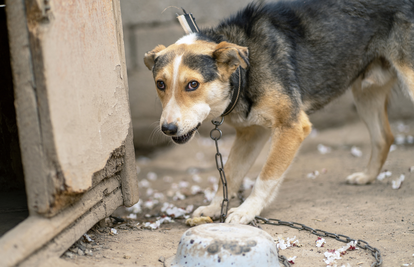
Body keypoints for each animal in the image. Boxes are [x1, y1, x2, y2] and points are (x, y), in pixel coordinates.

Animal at [145, 0, 414, 225]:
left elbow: (266, 177)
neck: (244, 71)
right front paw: (214, 207)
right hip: (365, 91)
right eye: (160, 84)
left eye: (193, 84)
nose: (167, 129)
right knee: (384, 137)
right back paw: (367, 176)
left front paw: (247, 210)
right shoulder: (251, 133)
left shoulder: (292, 127)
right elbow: (230, 173)